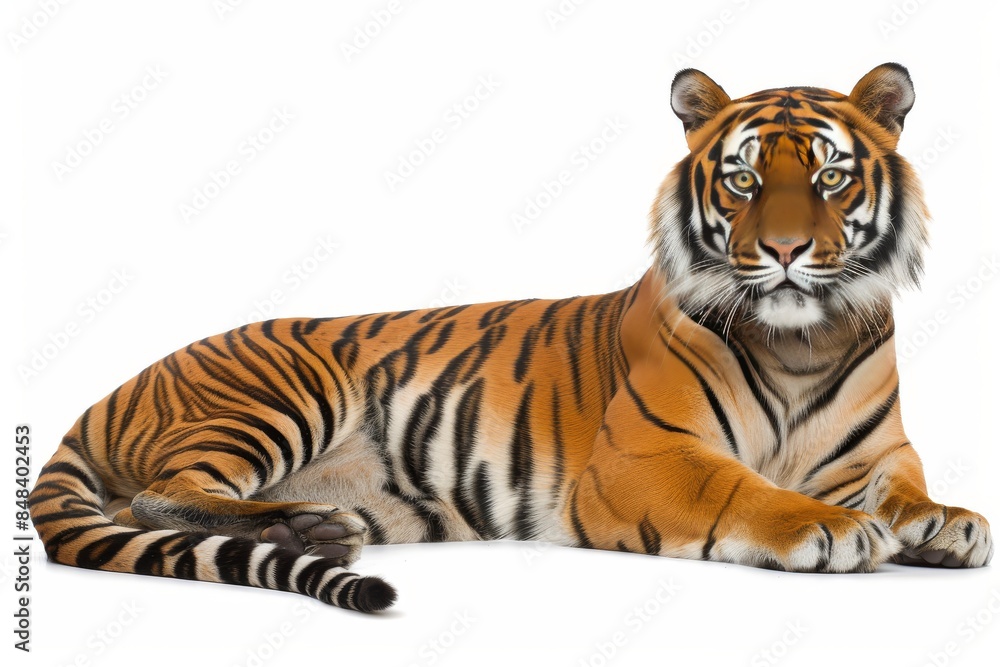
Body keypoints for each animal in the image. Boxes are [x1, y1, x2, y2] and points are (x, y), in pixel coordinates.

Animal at [29, 63, 993, 613]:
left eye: (830, 178)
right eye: (743, 179)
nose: (786, 250)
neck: (803, 343)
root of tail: (117, 386)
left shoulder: (878, 453)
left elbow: (908, 489)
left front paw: (947, 523)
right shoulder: (643, 457)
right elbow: (745, 489)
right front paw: (828, 527)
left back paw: (314, 527)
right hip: (280, 390)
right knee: (153, 494)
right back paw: (313, 525)